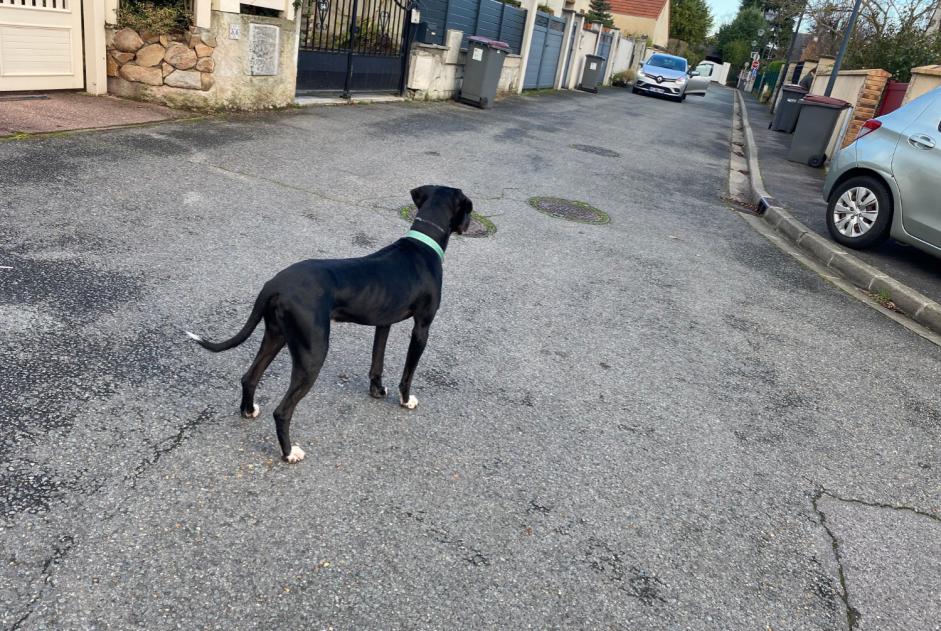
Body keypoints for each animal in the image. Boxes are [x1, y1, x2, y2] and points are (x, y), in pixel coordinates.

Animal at [187, 185, 474, 462]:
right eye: (468, 208)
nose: (468, 224)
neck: (423, 244)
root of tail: (274, 285)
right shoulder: (422, 327)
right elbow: (408, 373)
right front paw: (405, 400)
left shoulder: (383, 323)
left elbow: (377, 362)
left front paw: (377, 391)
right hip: (313, 352)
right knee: (282, 411)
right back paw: (289, 453)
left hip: (276, 335)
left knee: (249, 377)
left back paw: (248, 411)